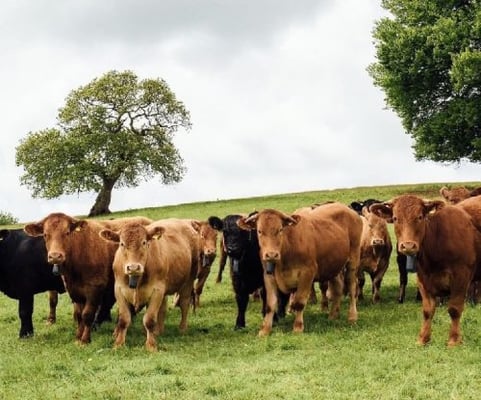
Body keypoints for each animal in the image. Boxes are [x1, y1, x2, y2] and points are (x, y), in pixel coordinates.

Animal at [23, 212, 152, 344]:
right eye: (45, 234)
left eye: (67, 232)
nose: (55, 256)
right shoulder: (74, 290)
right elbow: (79, 314)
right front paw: (78, 336)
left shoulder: (95, 288)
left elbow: (87, 314)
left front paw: (85, 339)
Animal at [99, 217, 199, 352]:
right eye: (122, 244)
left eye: (144, 242)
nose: (133, 267)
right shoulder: (119, 289)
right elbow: (124, 319)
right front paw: (118, 344)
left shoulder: (157, 290)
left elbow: (149, 319)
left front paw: (151, 345)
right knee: (163, 307)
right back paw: (158, 330)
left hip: (188, 280)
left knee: (184, 303)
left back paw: (182, 328)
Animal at [236, 202, 360, 336]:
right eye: (259, 231)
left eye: (280, 229)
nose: (271, 254)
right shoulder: (268, 275)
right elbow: (270, 304)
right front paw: (264, 330)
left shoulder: (307, 273)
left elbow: (299, 302)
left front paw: (298, 327)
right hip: (333, 265)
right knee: (338, 288)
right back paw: (333, 315)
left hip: (353, 261)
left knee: (352, 287)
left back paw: (352, 316)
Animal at [368, 195, 476, 346]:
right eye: (395, 218)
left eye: (419, 217)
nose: (408, 246)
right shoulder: (423, 278)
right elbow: (427, 310)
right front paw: (423, 338)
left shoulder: (461, 276)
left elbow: (454, 309)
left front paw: (454, 340)